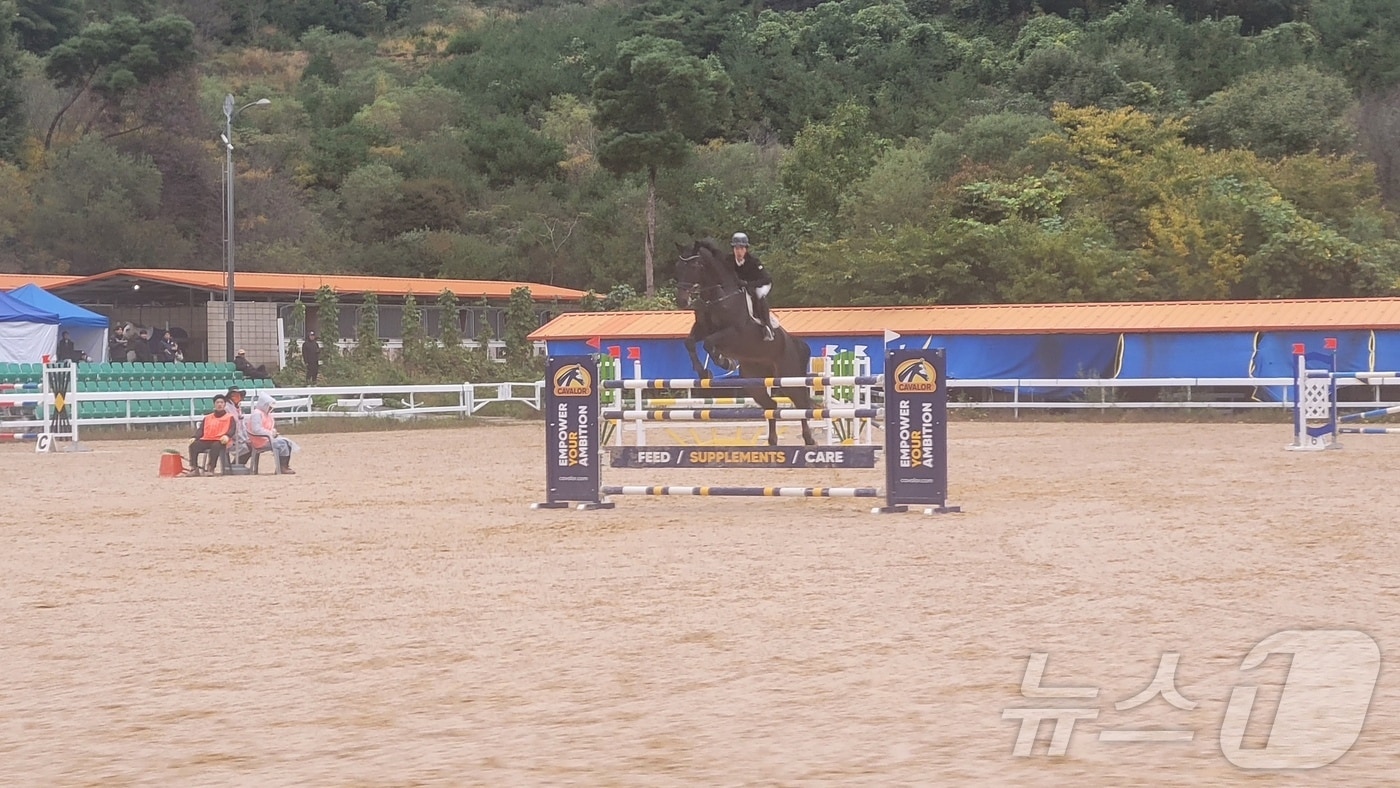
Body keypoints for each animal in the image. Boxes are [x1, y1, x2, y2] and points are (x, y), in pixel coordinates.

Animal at [672, 237, 817, 447]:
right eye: (678, 266)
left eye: (695, 265)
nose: (682, 301)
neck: (717, 297)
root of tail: (798, 344)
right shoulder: (702, 329)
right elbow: (690, 342)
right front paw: (704, 372)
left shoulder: (735, 333)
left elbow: (709, 342)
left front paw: (725, 362)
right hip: (753, 381)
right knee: (771, 405)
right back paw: (772, 441)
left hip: (788, 377)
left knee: (801, 404)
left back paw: (809, 439)